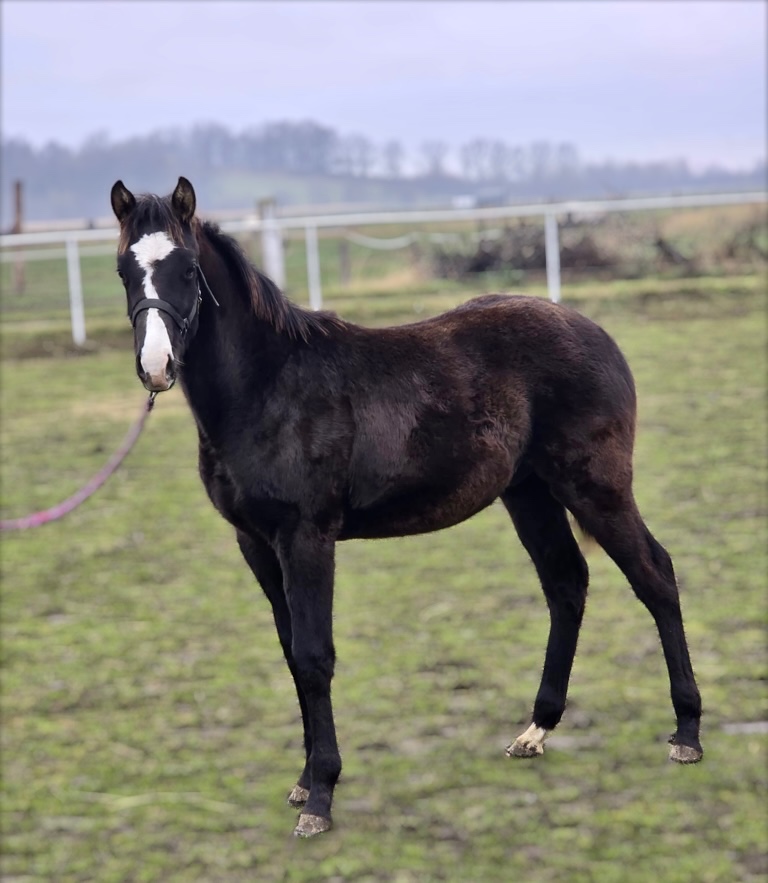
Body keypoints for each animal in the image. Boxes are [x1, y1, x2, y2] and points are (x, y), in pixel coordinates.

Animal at [110, 177, 703, 837]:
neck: (268, 387)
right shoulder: (257, 544)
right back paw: (537, 729)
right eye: (123, 269)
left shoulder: (306, 537)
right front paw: (303, 780)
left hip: (596, 488)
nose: (155, 367)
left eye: (188, 269)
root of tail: (594, 331)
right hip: (529, 493)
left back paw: (686, 731)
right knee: (567, 583)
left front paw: (321, 796)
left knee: (656, 577)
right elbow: (291, 654)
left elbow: (314, 657)